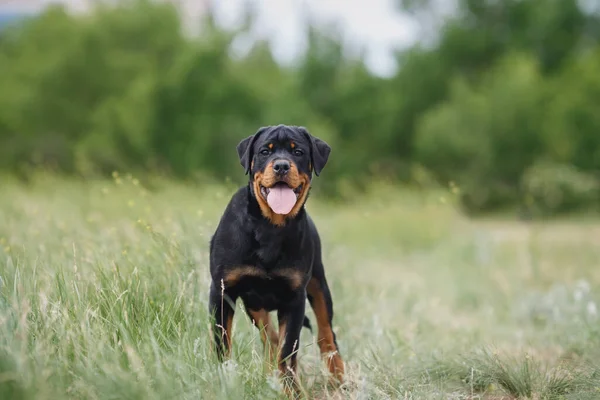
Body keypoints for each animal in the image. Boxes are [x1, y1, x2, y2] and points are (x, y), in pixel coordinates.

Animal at [209, 124, 344, 390]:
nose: (281, 165)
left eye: (298, 151)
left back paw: (339, 378)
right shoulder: (222, 290)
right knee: (269, 337)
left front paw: (291, 390)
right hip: (254, 305)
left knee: (326, 333)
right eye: (265, 151)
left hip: (318, 284)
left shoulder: (294, 298)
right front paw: (222, 378)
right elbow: (222, 340)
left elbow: (287, 349)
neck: (270, 227)